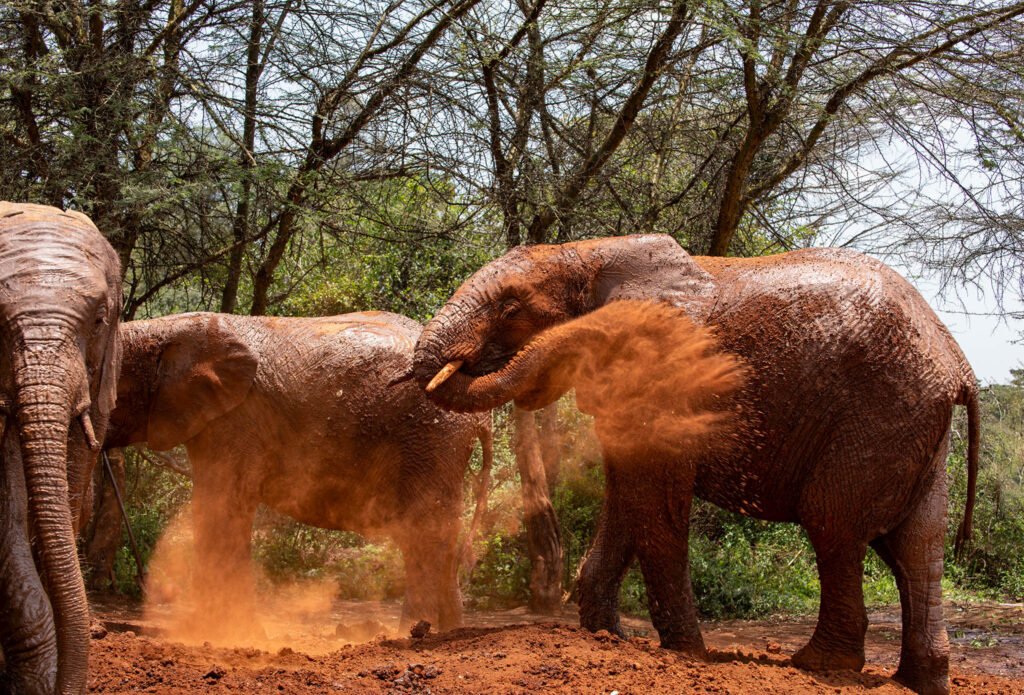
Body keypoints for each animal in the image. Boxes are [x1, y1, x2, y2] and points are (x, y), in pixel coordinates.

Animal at [103, 309, 491, 634]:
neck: (172, 329)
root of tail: (480, 418)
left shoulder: (236, 421)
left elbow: (223, 508)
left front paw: (227, 636)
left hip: (429, 436)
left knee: (424, 534)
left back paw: (411, 633)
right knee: (441, 535)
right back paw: (447, 633)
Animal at [405, 235, 974, 695]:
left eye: (510, 307)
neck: (589, 251)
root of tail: (958, 365)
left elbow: (654, 502)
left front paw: (685, 654)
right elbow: (626, 496)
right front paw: (607, 637)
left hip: (877, 415)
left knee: (833, 523)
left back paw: (817, 666)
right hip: (916, 425)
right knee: (917, 545)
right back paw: (918, 681)